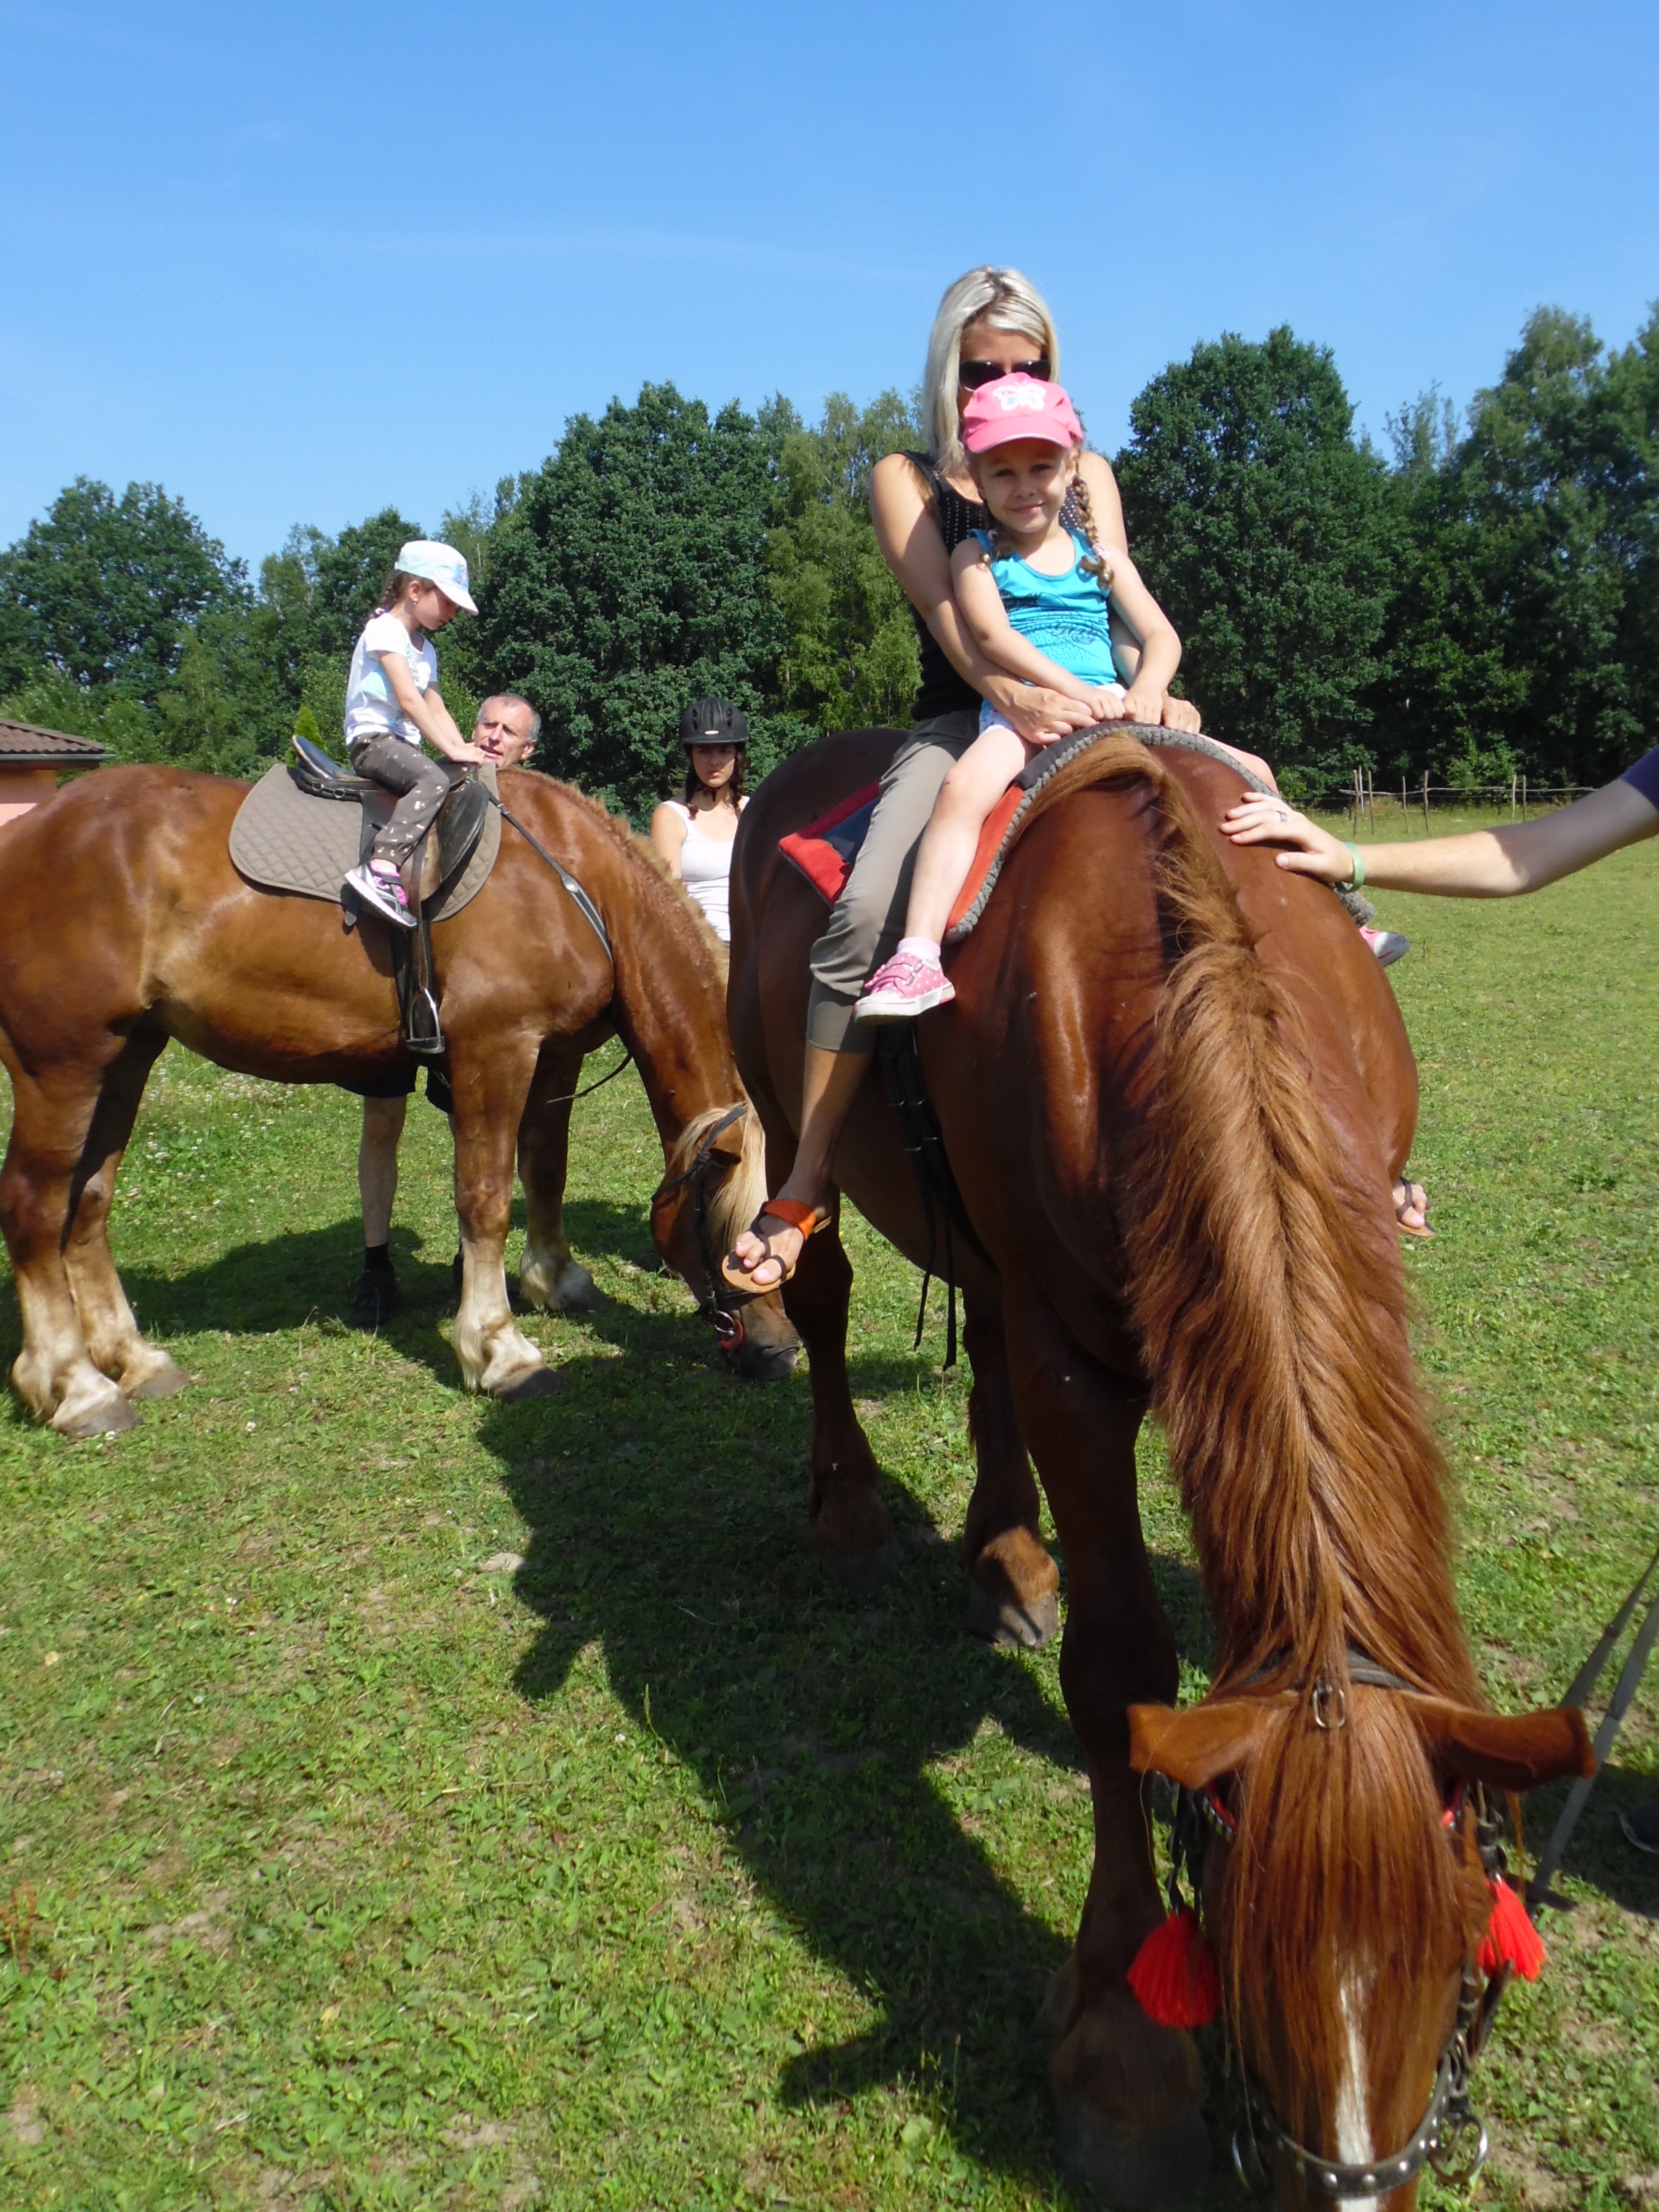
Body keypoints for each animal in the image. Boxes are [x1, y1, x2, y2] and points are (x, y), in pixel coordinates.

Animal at [0, 762, 799, 1439]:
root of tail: (27, 833)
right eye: (723, 1227)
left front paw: (557, 1280)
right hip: (62, 1066)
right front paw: (500, 1350)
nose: (780, 1353)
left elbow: (545, 1170)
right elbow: (485, 1197)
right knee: (35, 1207)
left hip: (126, 1055)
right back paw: (75, 1387)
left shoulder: (556, 1055)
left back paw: (133, 1360)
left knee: (89, 1200)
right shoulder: (496, 1050)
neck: (579, 887)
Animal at [727, 727, 1593, 2208]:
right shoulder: (1081, 1372)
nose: (1349, 2187)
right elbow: (1122, 1672)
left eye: (1461, 1937)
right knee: (823, 1281)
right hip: (796, 1116)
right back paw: (850, 1508)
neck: (1195, 967)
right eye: (1242, 1953)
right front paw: (1121, 2046)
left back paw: (1008, 1558)